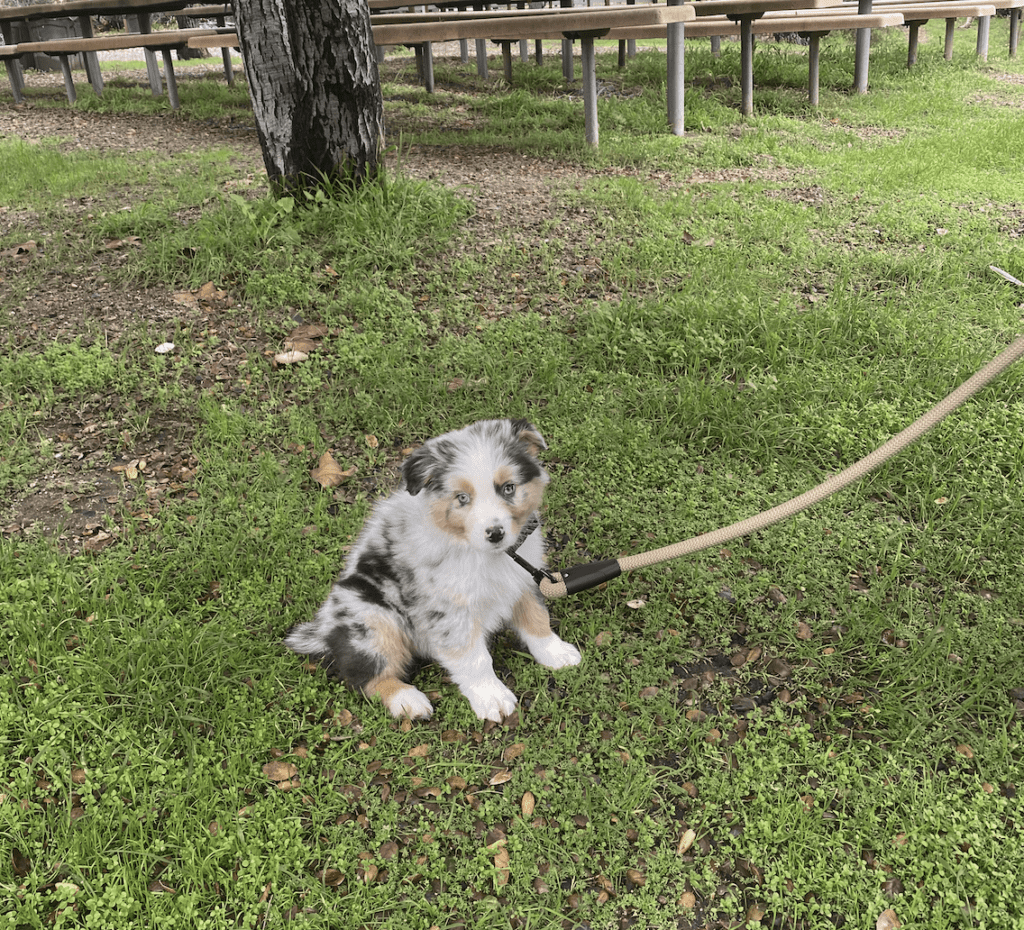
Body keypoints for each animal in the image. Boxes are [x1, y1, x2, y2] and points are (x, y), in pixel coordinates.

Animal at [284, 417, 581, 721]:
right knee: (364, 676)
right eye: (462, 498)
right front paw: (492, 697)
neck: (482, 554)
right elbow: (474, 658)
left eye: (508, 487)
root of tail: (324, 634)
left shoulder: (523, 578)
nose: (495, 533)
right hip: (371, 618)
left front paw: (555, 652)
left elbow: (536, 617)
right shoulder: (448, 610)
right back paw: (407, 700)